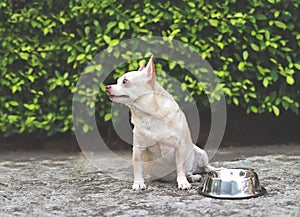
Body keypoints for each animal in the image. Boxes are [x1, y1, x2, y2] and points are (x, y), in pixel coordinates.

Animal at [106, 56, 212, 190]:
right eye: (117, 81)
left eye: (125, 81)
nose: (107, 87)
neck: (151, 115)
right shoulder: (138, 149)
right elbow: (137, 167)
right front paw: (138, 183)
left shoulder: (180, 146)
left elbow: (180, 167)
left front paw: (182, 182)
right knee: (190, 171)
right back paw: (191, 176)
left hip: (201, 154)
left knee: (204, 167)